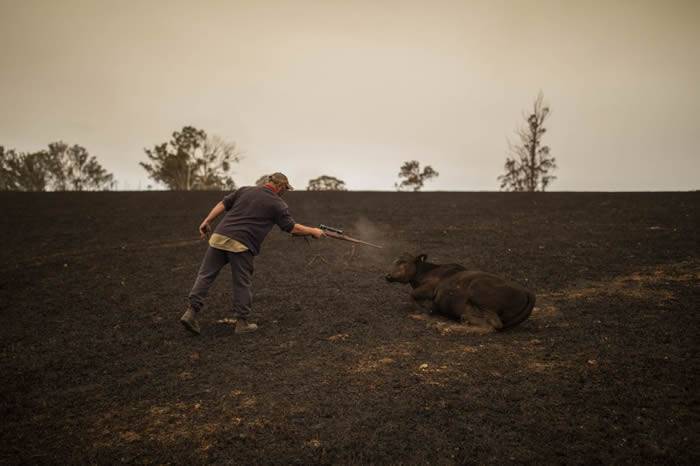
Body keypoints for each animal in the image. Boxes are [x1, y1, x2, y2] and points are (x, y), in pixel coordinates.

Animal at [386, 255, 532, 332]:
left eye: (403, 262)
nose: (387, 275)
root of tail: (526, 291)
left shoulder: (429, 289)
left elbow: (412, 295)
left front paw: (423, 311)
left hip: (477, 289)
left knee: (494, 324)